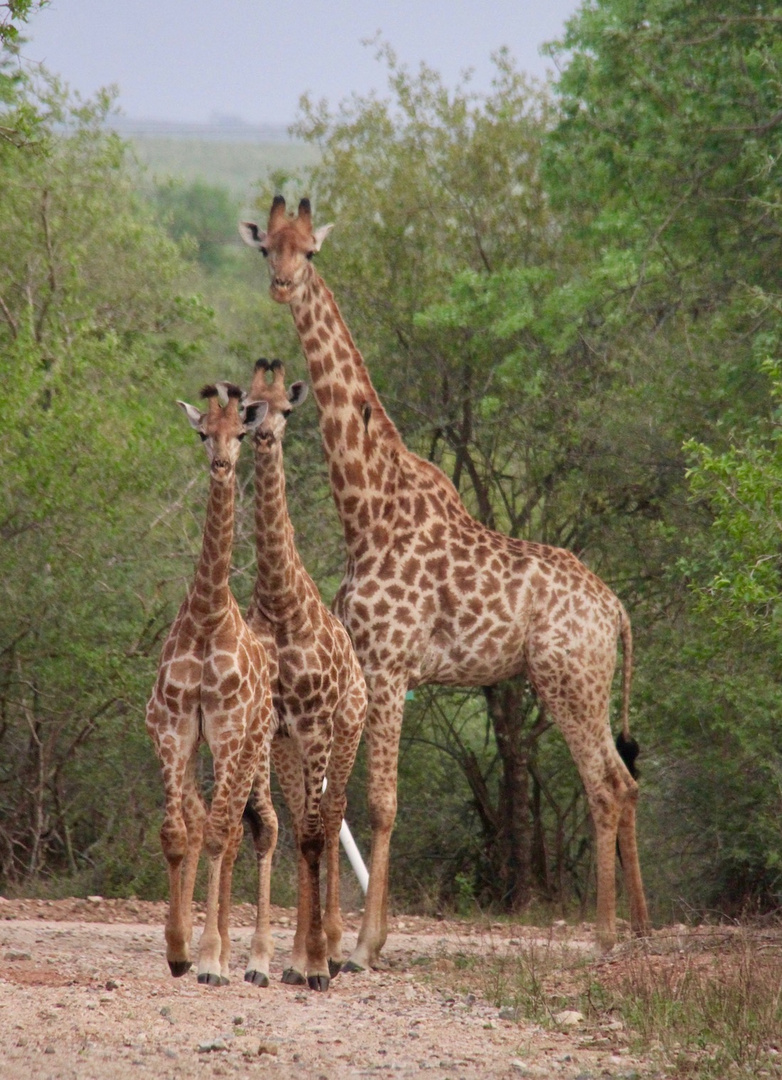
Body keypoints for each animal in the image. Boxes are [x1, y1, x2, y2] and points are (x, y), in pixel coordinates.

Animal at [239, 198, 652, 967]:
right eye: (266, 248)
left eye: (309, 251)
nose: (281, 285)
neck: (366, 507)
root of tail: (615, 610)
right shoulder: (368, 667)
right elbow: (343, 800)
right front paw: (350, 941)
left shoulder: (390, 664)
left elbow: (381, 803)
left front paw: (363, 946)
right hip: (581, 681)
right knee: (628, 780)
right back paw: (640, 928)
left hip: (569, 680)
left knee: (606, 786)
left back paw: (606, 937)